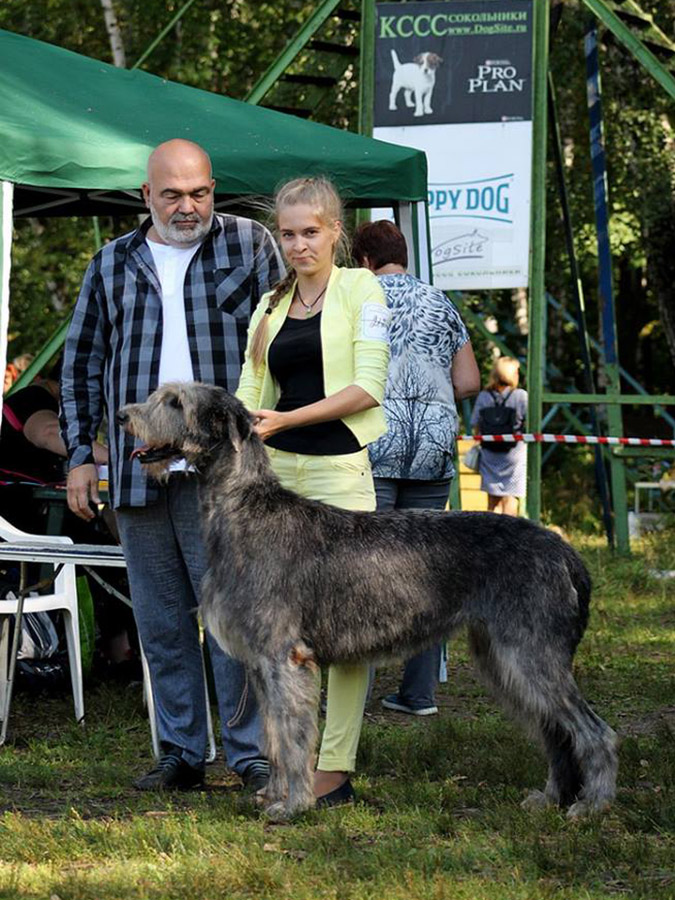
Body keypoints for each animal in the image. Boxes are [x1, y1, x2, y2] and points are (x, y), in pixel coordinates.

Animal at [120, 380, 616, 824]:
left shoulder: (284, 659)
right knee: (556, 733)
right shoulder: (261, 664)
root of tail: (565, 550)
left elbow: (292, 734)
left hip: (530, 654)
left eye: (175, 401)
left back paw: (592, 806)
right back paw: (551, 798)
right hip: (501, 658)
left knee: (596, 732)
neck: (243, 509)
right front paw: (272, 795)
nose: (124, 415)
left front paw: (293, 805)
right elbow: (274, 736)